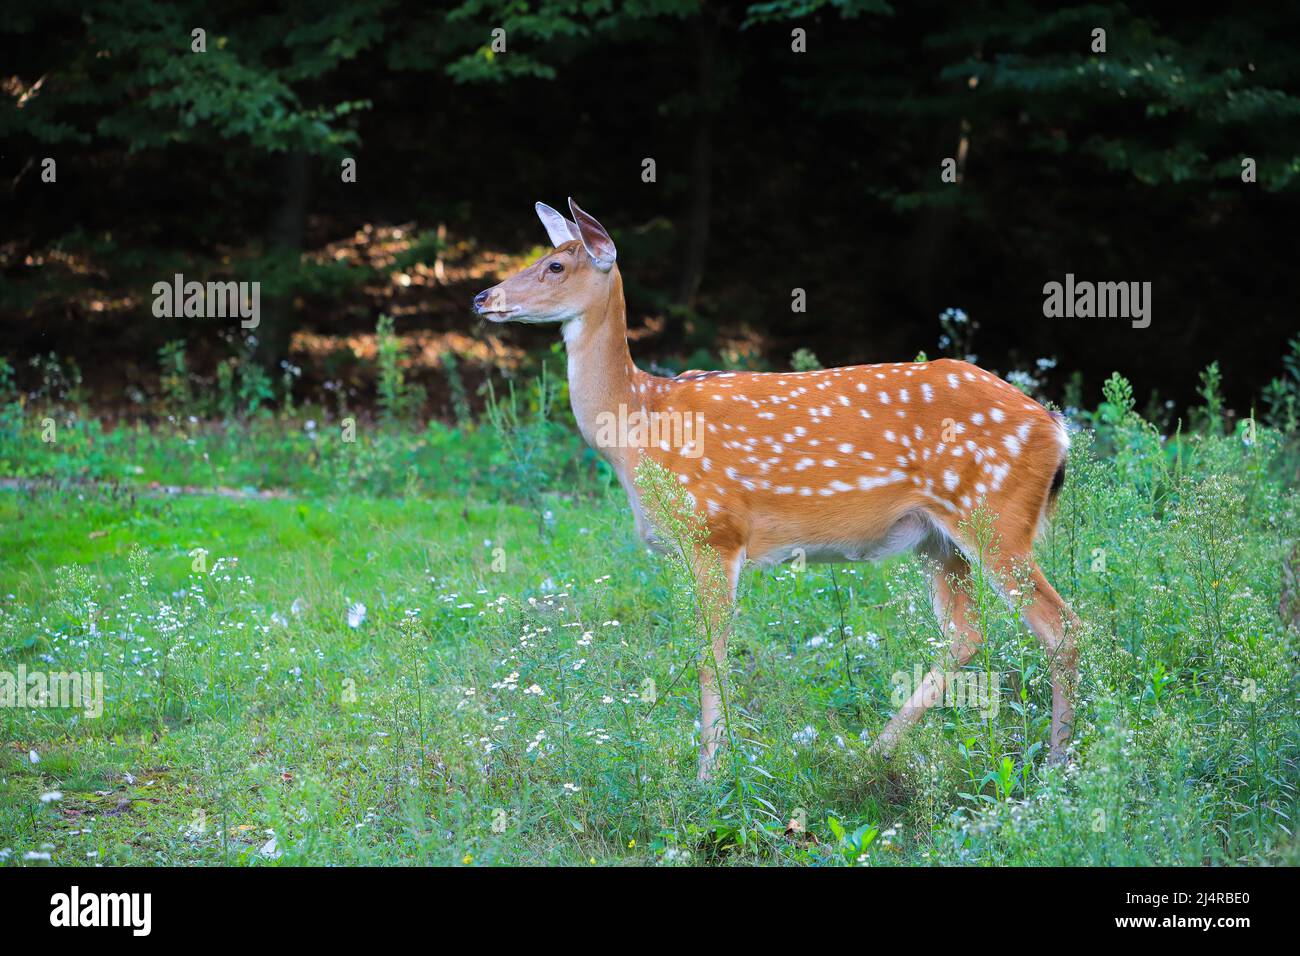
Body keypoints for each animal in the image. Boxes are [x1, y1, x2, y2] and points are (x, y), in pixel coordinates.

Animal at [474, 198, 1081, 781]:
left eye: (555, 266)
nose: (482, 297)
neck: (638, 424)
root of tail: (1057, 428)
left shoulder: (713, 531)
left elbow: (710, 654)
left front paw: (711, 775)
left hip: (997, 518)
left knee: (1061, 626)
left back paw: (1056, 766)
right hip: (939, 538)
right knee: (966, 634)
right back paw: (874, 753)